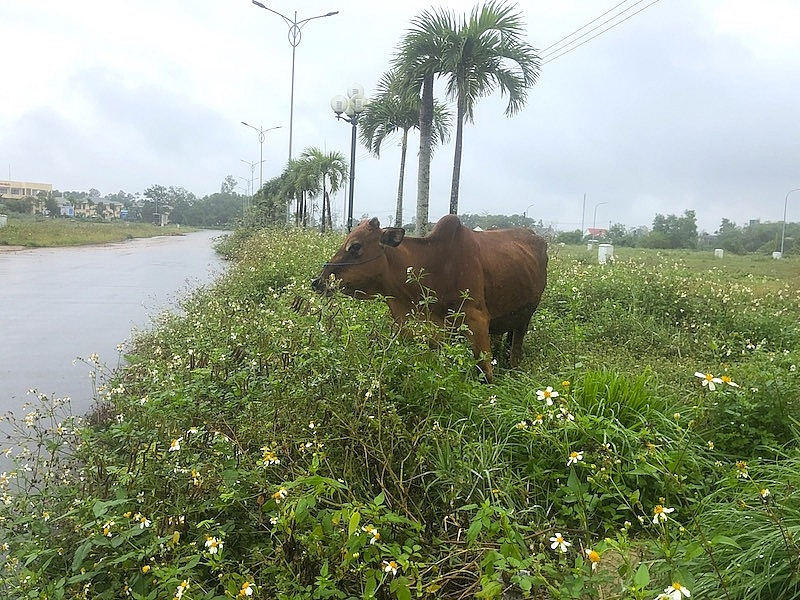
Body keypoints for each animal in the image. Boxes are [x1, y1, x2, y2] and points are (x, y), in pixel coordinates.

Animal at [310, 214, 548, 380]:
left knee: (516, 350)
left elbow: (486, 374)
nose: (317, 281)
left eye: (356, 246)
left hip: (525, 318)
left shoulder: (477, 322)